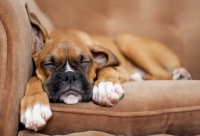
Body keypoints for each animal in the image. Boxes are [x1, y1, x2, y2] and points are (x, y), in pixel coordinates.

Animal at [20, 5, 192, 132]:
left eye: (85, 62)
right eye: (49, 64)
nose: (69, 76)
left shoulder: (118, 69)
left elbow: (106, 68)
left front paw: (105, 87)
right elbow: (34, 79)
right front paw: (34, 107)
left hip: (126, 40)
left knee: (162, 73)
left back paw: (176, 75)